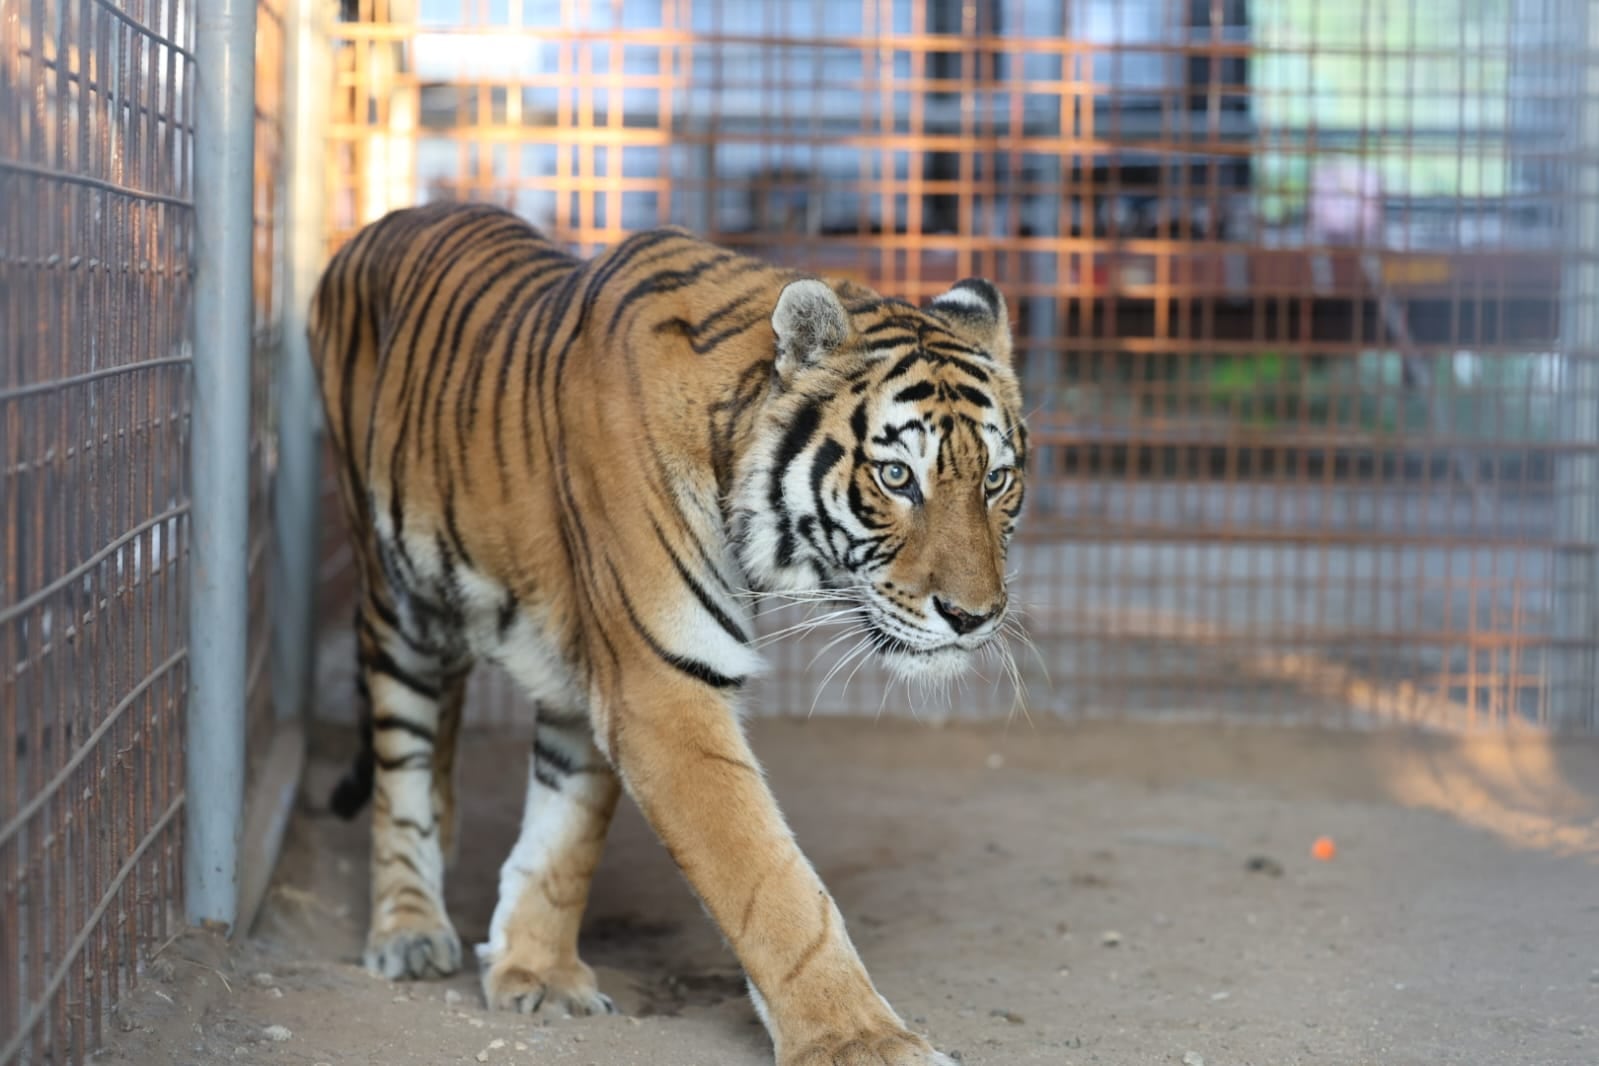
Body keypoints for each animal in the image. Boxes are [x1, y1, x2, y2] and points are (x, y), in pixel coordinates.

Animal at [309, 200, 1027, 1066]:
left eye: (996, 480)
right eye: (896, 478)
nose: (973, 616)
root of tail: (381, 224)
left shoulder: (600, 676)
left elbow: (566, 832)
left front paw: (537, 973)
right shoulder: (661, 687)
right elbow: (768, 881)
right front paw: (861, 1040)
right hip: (394, 601)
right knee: (401, 760)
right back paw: (409, 929)